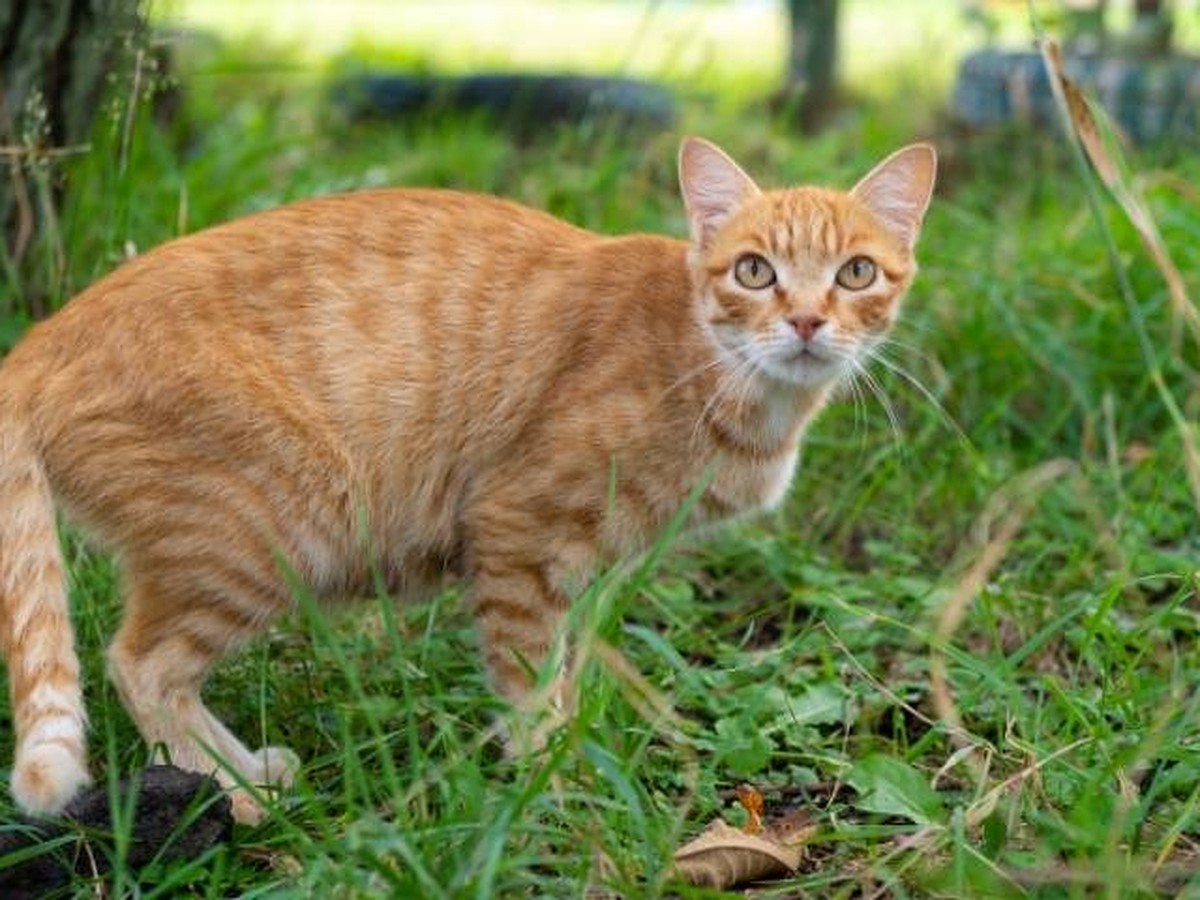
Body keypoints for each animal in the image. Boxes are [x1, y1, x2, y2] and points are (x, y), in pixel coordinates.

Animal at [0, 137, 936, 820]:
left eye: (855, 272)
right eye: (754, 271)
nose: (807, 321)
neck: (717, 372)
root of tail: (39, 341)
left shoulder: (588, 574)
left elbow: (565, 678)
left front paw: (569, 760)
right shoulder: (517, 532)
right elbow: (526, 685)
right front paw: (551, 791)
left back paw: (253, 772)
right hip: (277, 524)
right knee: (141, 664)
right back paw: (231, 799)